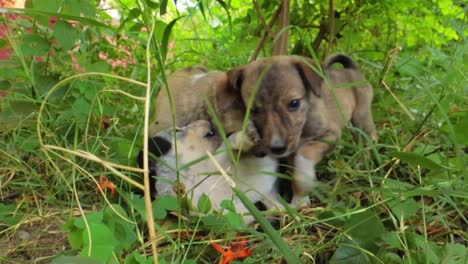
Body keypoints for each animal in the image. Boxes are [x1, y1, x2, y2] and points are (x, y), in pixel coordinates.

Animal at [226, 53, 376, 206]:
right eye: (253, 110)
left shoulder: (331, 135)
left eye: (294, 103)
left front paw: (303, 185)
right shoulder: (290, 153)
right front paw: (300, 198)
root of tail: (351, 69)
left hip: (361, 116)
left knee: (369, 136)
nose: (277, 148)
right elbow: (294, 172)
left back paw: (366, 159)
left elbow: (304, 154)